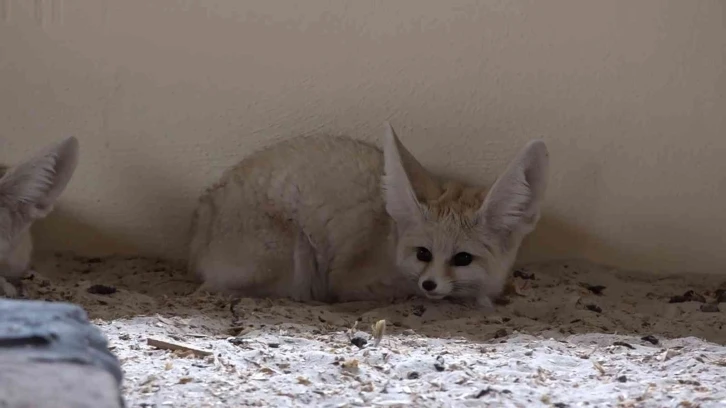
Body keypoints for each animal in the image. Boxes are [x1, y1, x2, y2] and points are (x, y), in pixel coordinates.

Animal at [191, 124, 548, 310]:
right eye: (423, 253)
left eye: (463, 258)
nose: (429, 284)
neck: (390, 236)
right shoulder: (353, 282)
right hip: (294, 254)